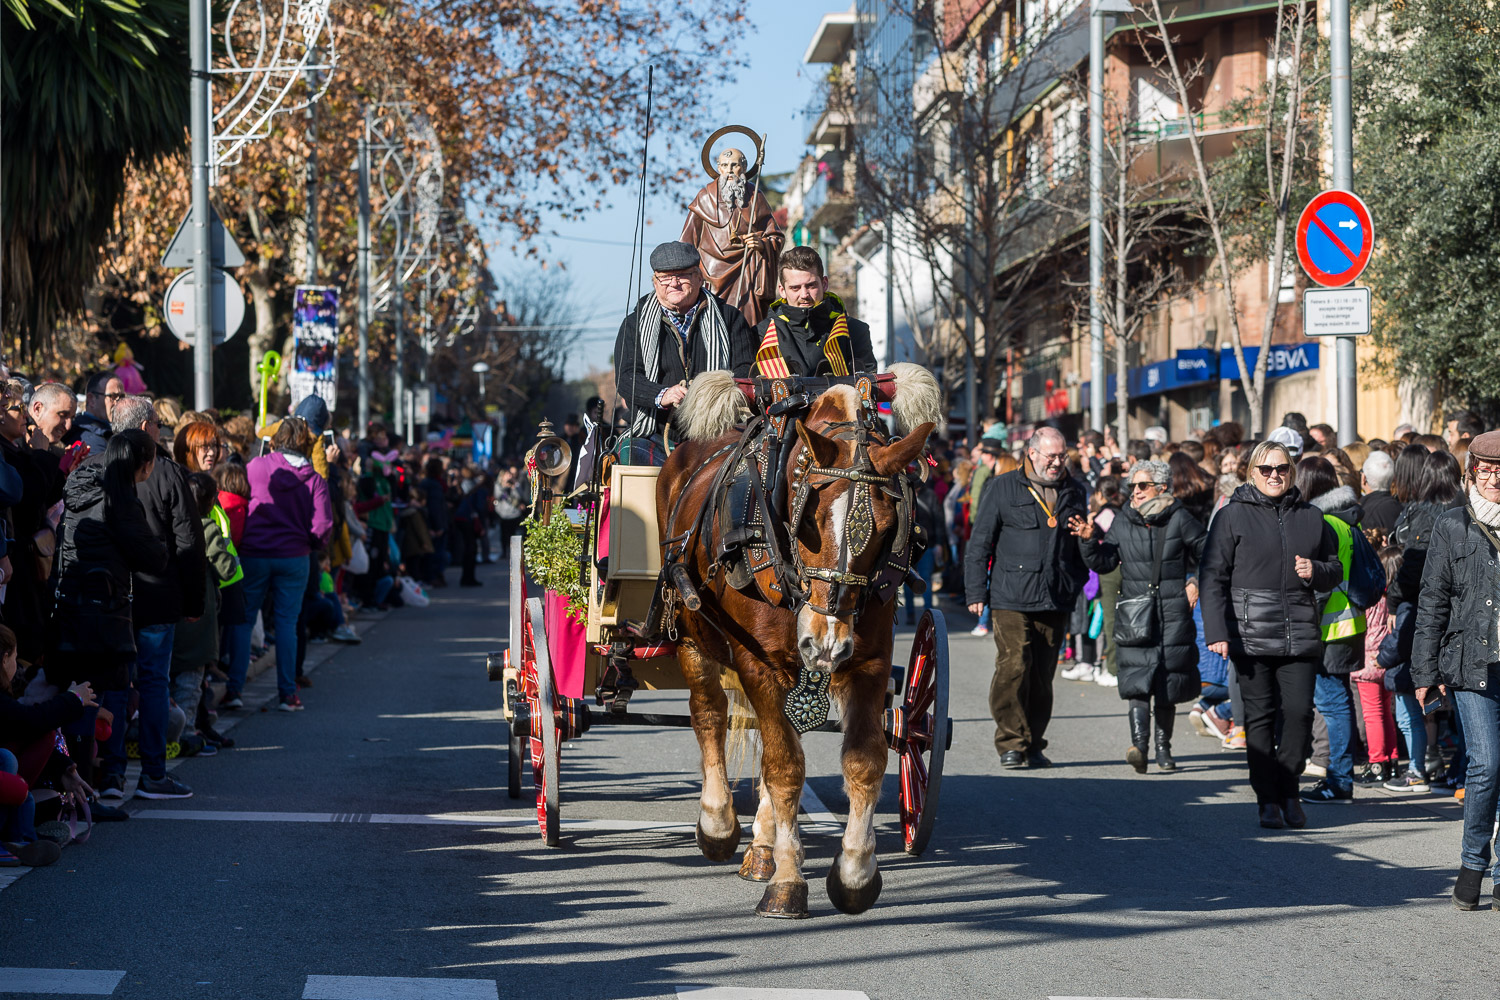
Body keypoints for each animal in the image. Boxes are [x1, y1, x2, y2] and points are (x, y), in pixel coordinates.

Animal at [660, 379, 930, 917]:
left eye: (886, 530)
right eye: (811, 520)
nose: (825, 642)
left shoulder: (868, 660)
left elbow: (864, 760)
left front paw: (854, 872)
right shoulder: (758, 664)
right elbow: (784, 767)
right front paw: (787, 881)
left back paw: (761, 847)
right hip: (692, 633)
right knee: (708, 713)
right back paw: (718, 823)